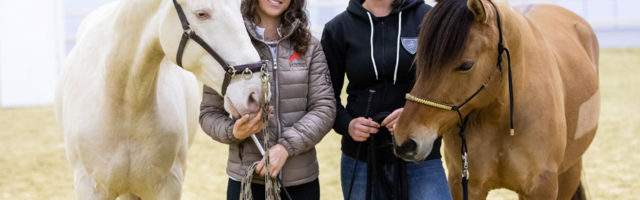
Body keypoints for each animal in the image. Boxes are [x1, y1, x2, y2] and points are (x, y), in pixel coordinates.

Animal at [55, 0, 264, 198]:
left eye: (239, 9)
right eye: (201, 13)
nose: (255, 94)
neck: (126, 103)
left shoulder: (168, 186)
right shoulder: (90, 187)